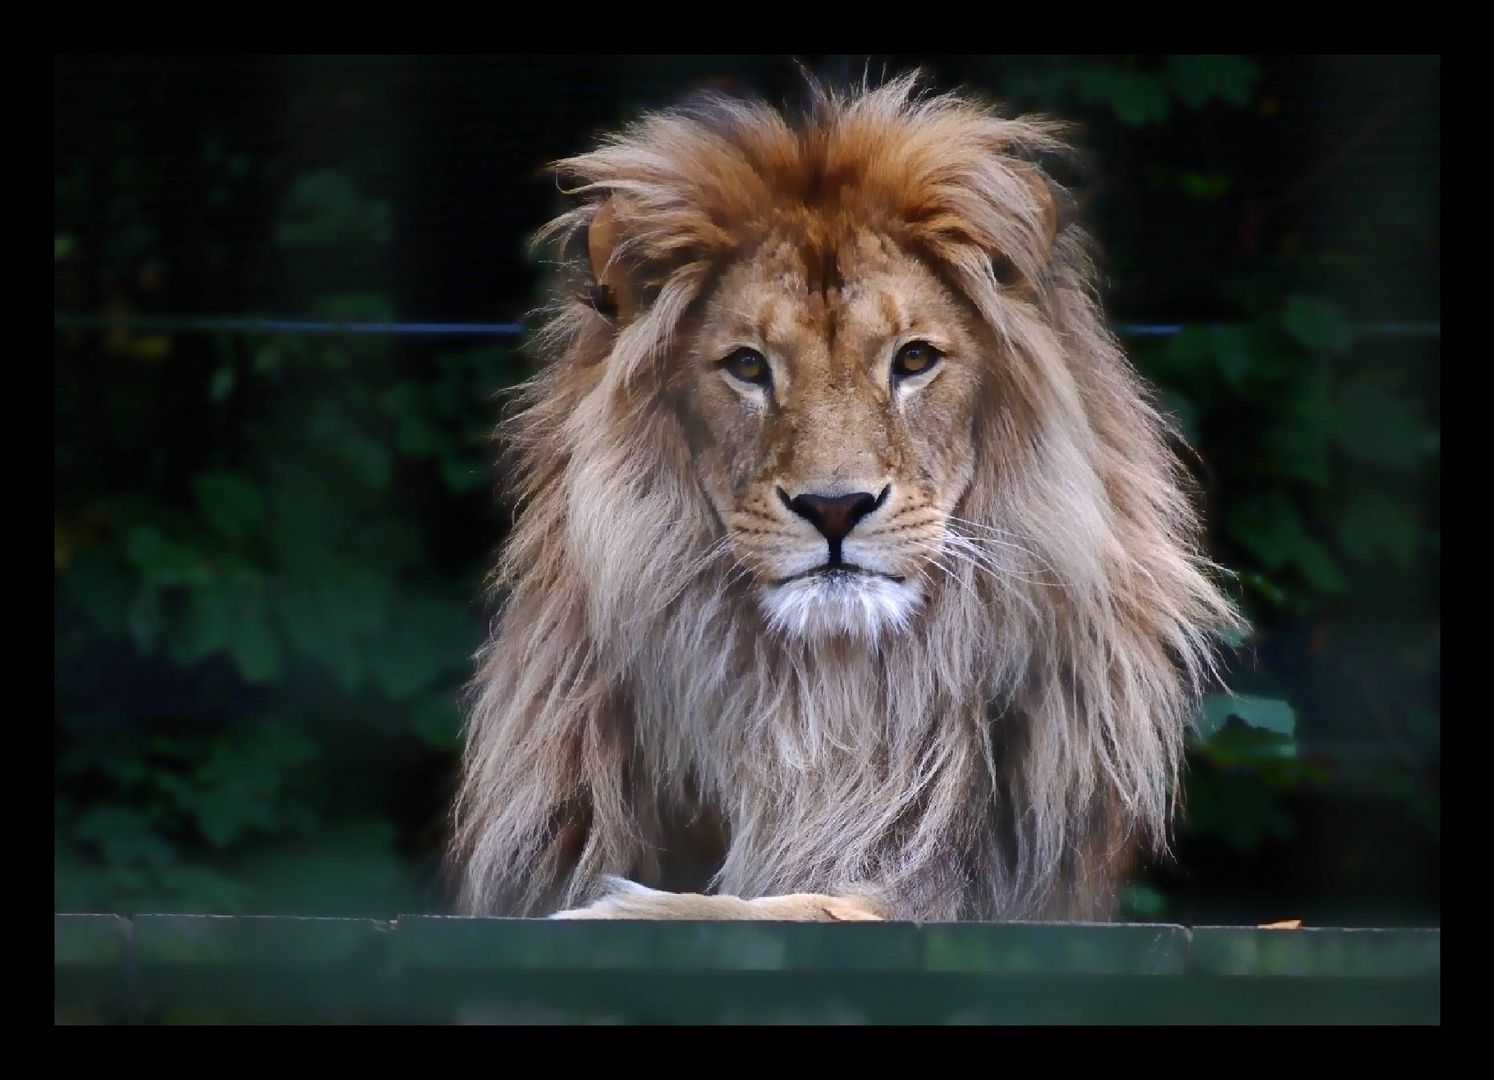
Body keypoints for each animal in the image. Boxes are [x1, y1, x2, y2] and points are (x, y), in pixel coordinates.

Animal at [448, 73, 1243, 920]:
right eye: (748, 366)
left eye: (915, 359)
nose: (834, 508)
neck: (830, 697)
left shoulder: (966, 889)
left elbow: (802, 907)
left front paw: (628, 910)